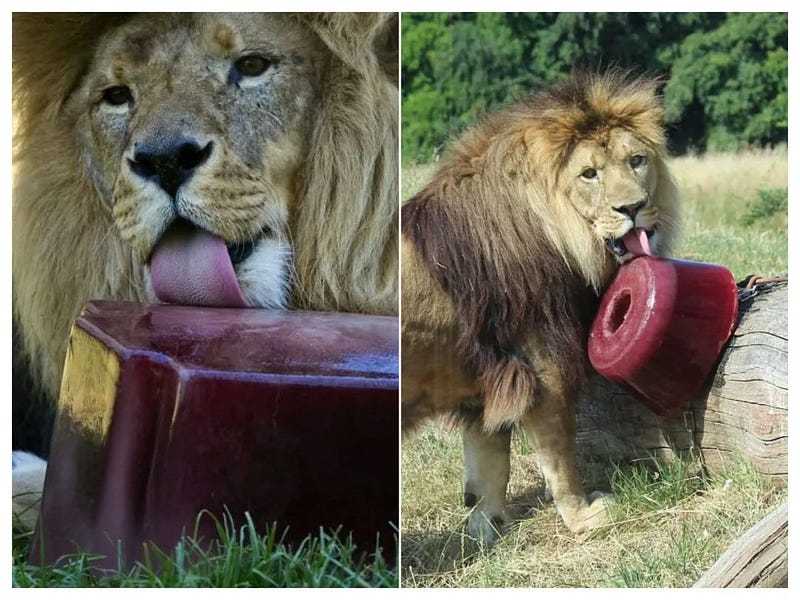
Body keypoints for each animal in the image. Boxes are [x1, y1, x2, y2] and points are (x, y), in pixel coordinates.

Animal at [404, 70, 680, 544]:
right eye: (589, 174)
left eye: (637, 161)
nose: (633, 208)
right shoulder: (543, 369)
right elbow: (560, 458)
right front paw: (586, 517)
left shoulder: (491, 383)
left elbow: (488, 465)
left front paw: (485, 530)